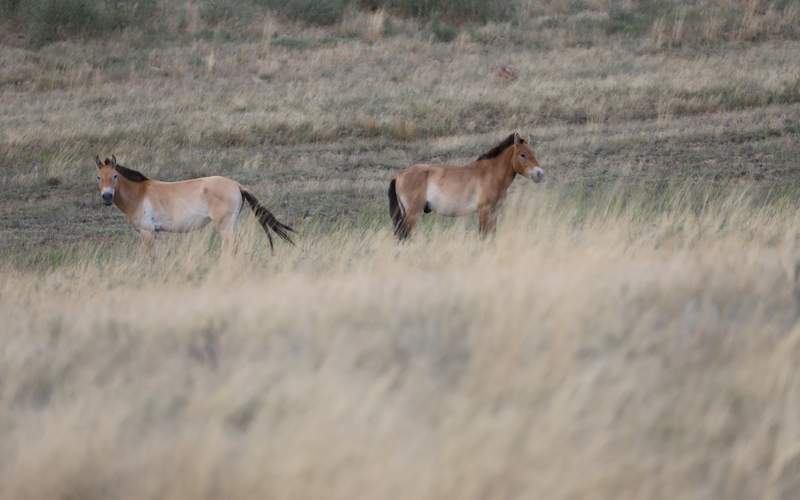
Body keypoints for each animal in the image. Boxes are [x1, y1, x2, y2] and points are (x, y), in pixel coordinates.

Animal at [94, 155, 294, 250]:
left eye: (115, 175)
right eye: (98, 177)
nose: (107, 197)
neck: (139, 194)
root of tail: (237, 185)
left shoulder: (147, 233)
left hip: (225, 226)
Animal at [388, 131, 544, 236]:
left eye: (533, 153)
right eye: (522, 155)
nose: (540, 174)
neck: (490, 174)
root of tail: (399, 175)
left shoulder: (494, 212)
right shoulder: (484, 211)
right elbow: (483, 235)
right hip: (412, 215)